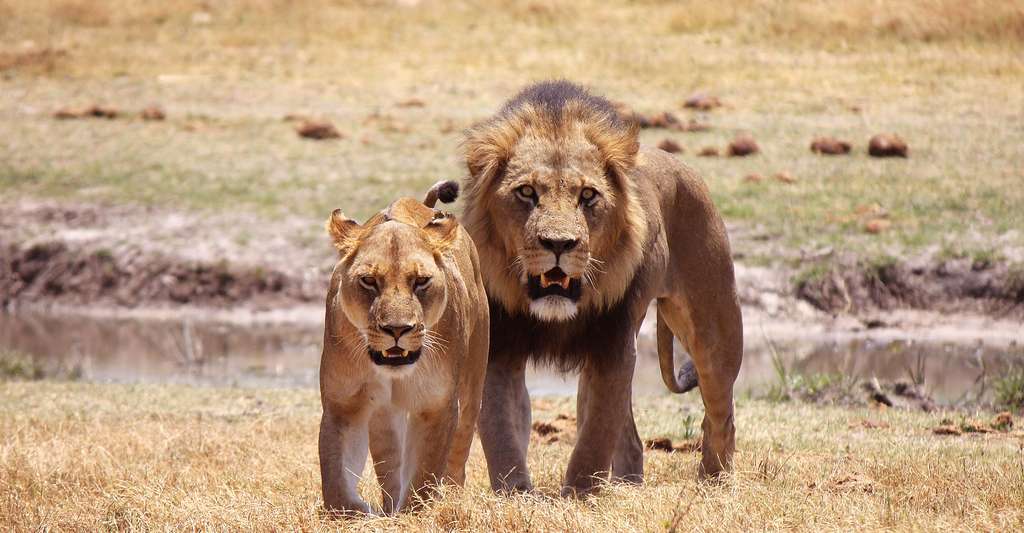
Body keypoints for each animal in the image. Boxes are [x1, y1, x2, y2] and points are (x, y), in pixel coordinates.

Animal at [317, 181, 489, 513]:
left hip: (472, 387)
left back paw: (452, 497)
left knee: (458, 453)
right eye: (369, 281)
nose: (397, 329)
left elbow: (424, 471)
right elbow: (335, 482)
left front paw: (412, 513)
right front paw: (364, 512)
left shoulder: (437, 405)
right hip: (384, 415)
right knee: (390, 462)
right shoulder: (343, 404)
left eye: (421, 281)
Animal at [464, 80, 745, 497]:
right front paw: (515, 493)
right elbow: (502, 429)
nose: (559, 244)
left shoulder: (612, 344)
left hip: (716, 331)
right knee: (631, 439)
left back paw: (714, 483)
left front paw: (578, 495)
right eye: (527, 192)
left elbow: (595, 435)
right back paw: (630, 487)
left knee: (719, 416)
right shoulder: (501, 347)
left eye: (588, 195)